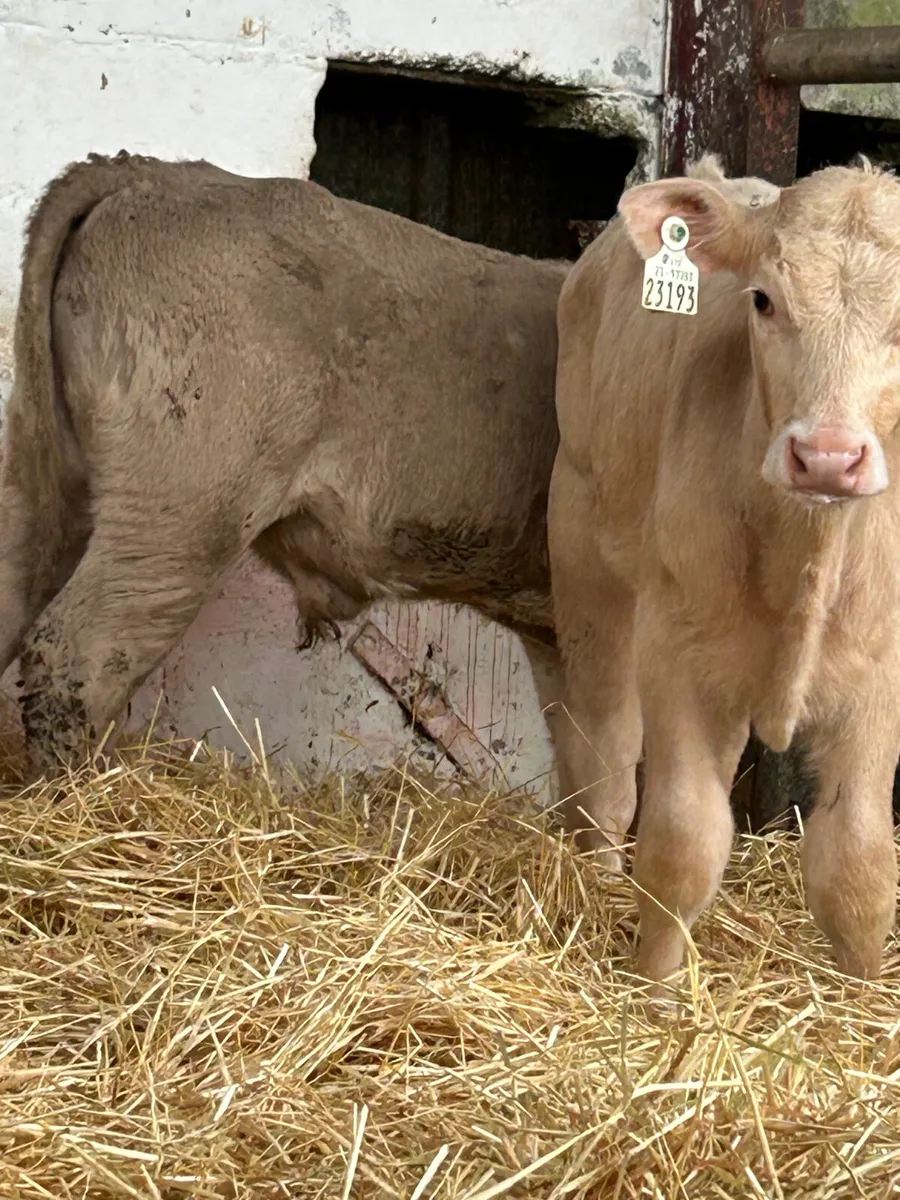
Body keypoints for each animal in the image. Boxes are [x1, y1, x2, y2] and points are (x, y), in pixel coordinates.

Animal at [549, 154, 900, 987]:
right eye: (763, 300)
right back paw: (594, 882)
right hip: (582, 544)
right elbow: (682, 843)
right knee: (606, 761)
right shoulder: (678, 645)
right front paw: (654, 997)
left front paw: (862, 1001)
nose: (828, 456)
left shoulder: (884, 671)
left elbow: (859, 863)